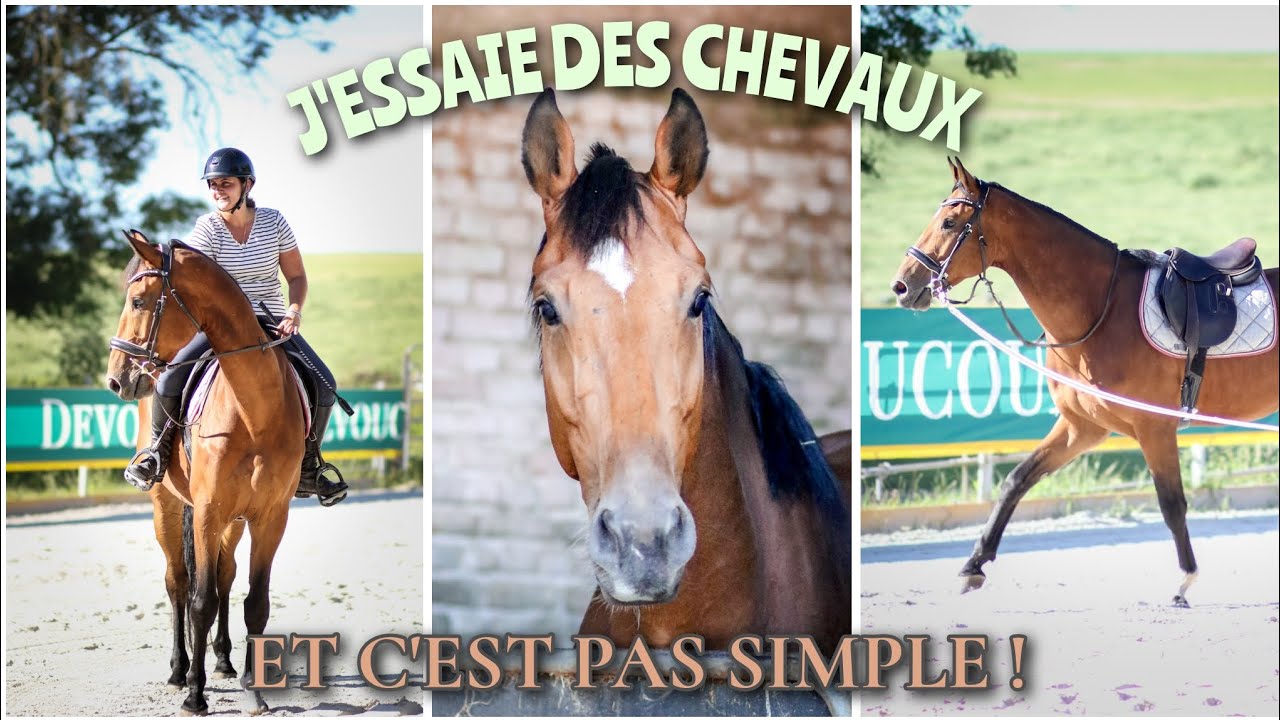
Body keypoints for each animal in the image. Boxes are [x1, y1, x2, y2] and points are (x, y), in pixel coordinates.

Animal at [106, 230, 305, 715]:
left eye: (138, 301)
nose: (116, 379)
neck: (255, 409)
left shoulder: (270, 517)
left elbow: (254, 601)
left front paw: (255, 689)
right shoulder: (207, 510)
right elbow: (199, 601)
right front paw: (195, 695)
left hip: (232, 521)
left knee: (224, 576)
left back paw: (224, 662)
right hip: (169, 507)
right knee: (178, 582)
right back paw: (180, 670)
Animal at [891, 158, 1280, 607]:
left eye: (950, 222)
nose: (901, 285)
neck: (1102, 311)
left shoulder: (1154, 429)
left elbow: (1171, 504)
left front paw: (1185, 580)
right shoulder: (1083, 426)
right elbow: (1016, 480)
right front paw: (974, 564)